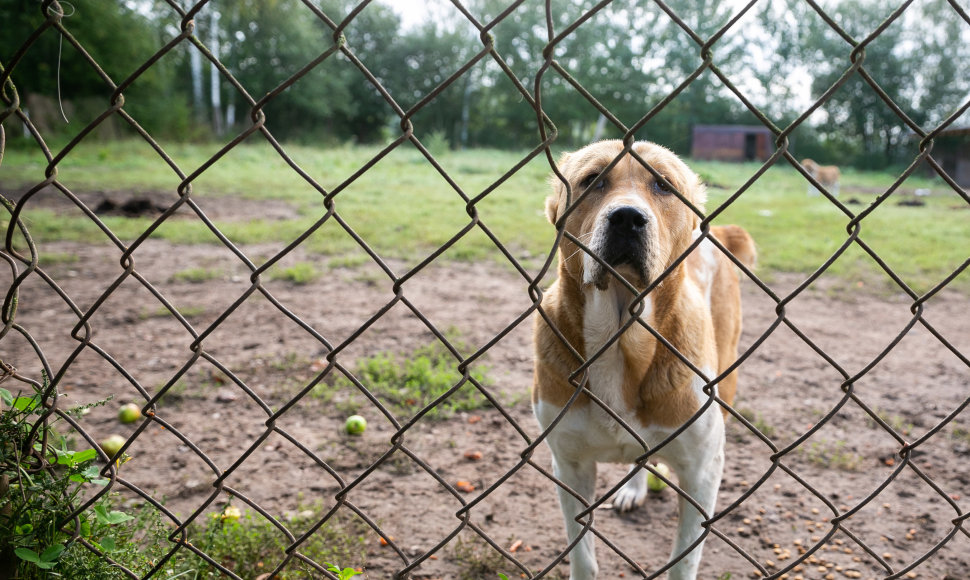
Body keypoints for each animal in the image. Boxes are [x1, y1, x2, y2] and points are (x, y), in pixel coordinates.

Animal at [532, 142, 752, 580]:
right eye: (593, 180)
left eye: (663, 185)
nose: (627, 218)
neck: (620, 337)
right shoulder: (570, 466)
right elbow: (583, 556)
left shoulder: (702, 471)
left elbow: (684, 561)